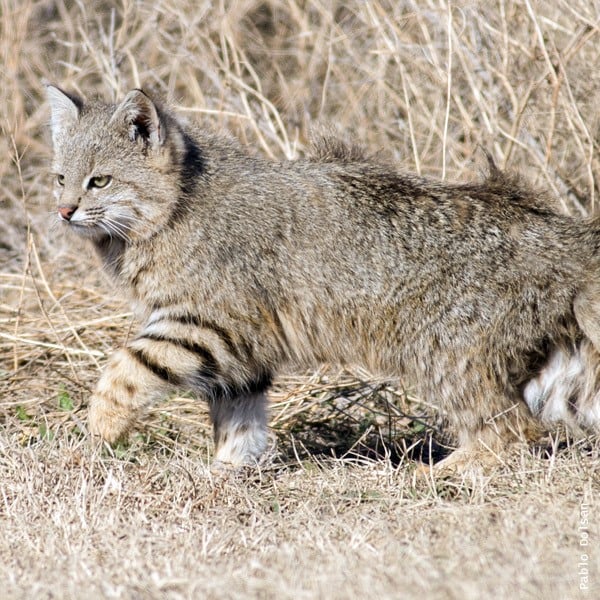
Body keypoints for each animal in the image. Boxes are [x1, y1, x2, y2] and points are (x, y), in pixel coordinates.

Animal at [45, 83, 600, 468]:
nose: (64, 211)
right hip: (555, 369)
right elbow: (238, 416)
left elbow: (124, 369)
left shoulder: (206, 325)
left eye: (100, 181)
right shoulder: (241, 349)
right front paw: (228, 470)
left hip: (447, 356)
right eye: (61, 178)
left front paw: (100, 429)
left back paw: (440, 472)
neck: (172, 209)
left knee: (513, 432)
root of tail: (566, 234)